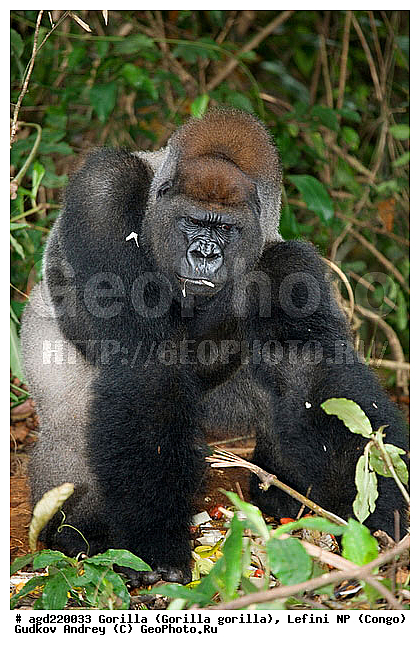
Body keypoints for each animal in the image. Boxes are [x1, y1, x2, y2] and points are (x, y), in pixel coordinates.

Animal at [21, 108, 408, 586]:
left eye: (225, 228)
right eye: (193, 221)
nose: (204, 254)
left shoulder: (289, 262)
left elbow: (315, 374)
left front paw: (378, 516)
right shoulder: (101, 191)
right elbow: (147, 364)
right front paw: (156, 545)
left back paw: (282, 497)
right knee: (76, 414)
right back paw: (77, 532)